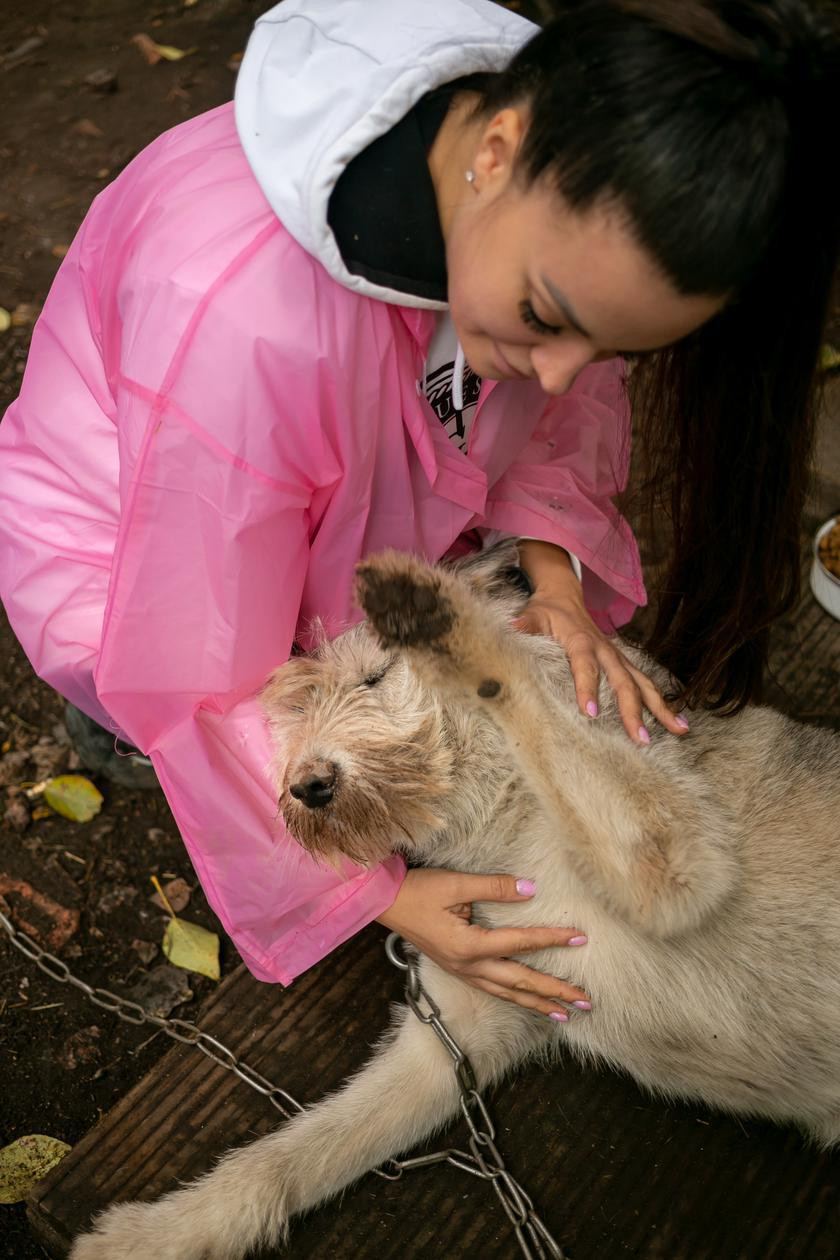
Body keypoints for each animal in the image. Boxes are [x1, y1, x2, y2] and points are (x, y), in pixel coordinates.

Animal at [70, 544, 840, 1260]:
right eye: (289, 718)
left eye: (373, 678)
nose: (305, 786)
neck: (502, 821)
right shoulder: (455, 1038)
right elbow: (277, 1164)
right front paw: (155, 1236)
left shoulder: (673, 858)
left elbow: (513, 682)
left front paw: (436, 617)